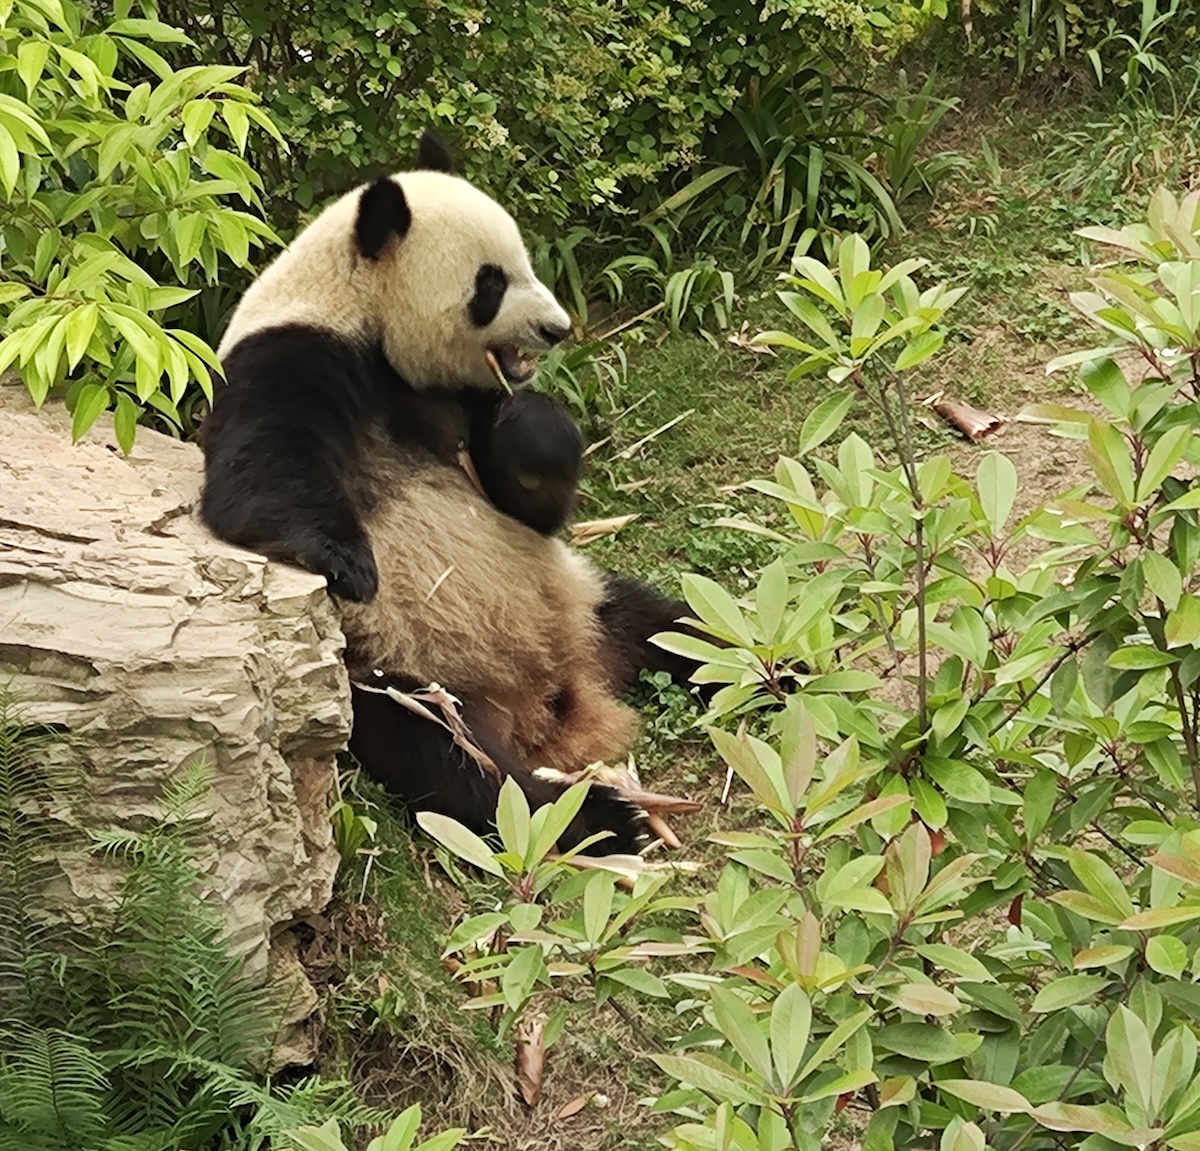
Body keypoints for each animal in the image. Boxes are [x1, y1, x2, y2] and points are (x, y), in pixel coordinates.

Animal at [199, 132, 703, 856]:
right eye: (491, 283)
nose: (556, 328)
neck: (363, 317)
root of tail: (551, 699)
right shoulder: (290, 353)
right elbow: (257, 472)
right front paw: (346, 563)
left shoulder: (463, 399)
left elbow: (532, 504)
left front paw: (534, 427)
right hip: (398, 674)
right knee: (460, 764)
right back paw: (603, 817)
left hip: (586, 598)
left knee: (677, 626)